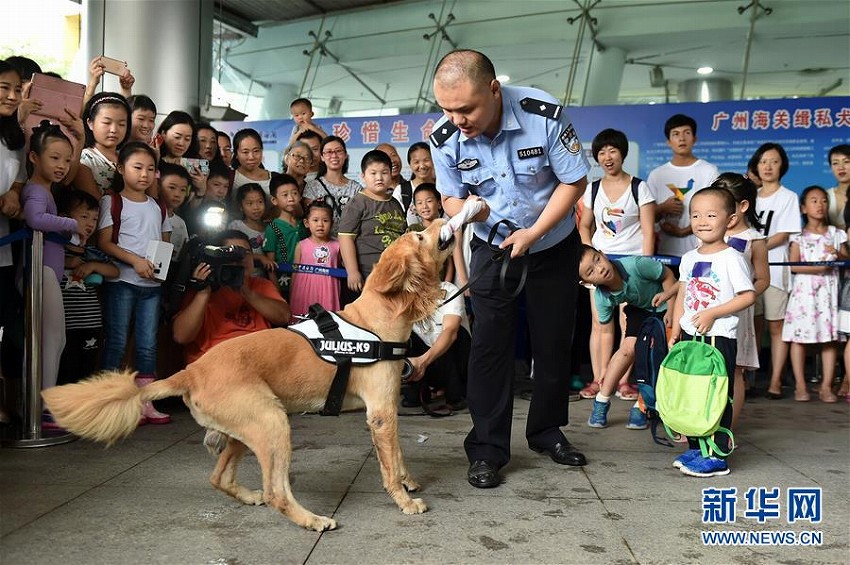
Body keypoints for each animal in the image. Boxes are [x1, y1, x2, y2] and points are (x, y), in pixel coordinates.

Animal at [45, 218, 454, 532]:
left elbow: (398, 456)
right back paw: (311, 520)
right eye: (420, 236)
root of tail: (190, 371)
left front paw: (409, 481)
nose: (440, 218)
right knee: (276, 492)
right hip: (272, 421)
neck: (376, 320)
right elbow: (390, 464)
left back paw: (249, 496)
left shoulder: (388, 412)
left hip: (246, 427)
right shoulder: (381, 414)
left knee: (220, 478)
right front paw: (404, 501)